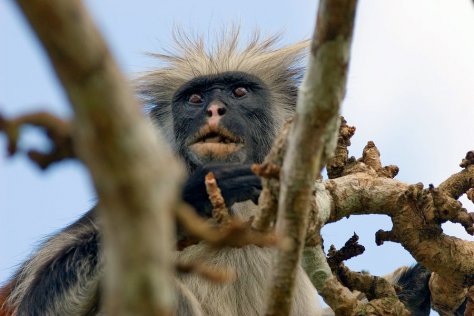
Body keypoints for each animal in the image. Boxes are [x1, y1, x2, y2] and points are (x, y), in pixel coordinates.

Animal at [0, 28, 444, 314]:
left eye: (239, 92)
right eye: (195, 99)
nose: (214, 110)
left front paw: (412, 288)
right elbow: (36, 305)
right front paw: (194, 196)